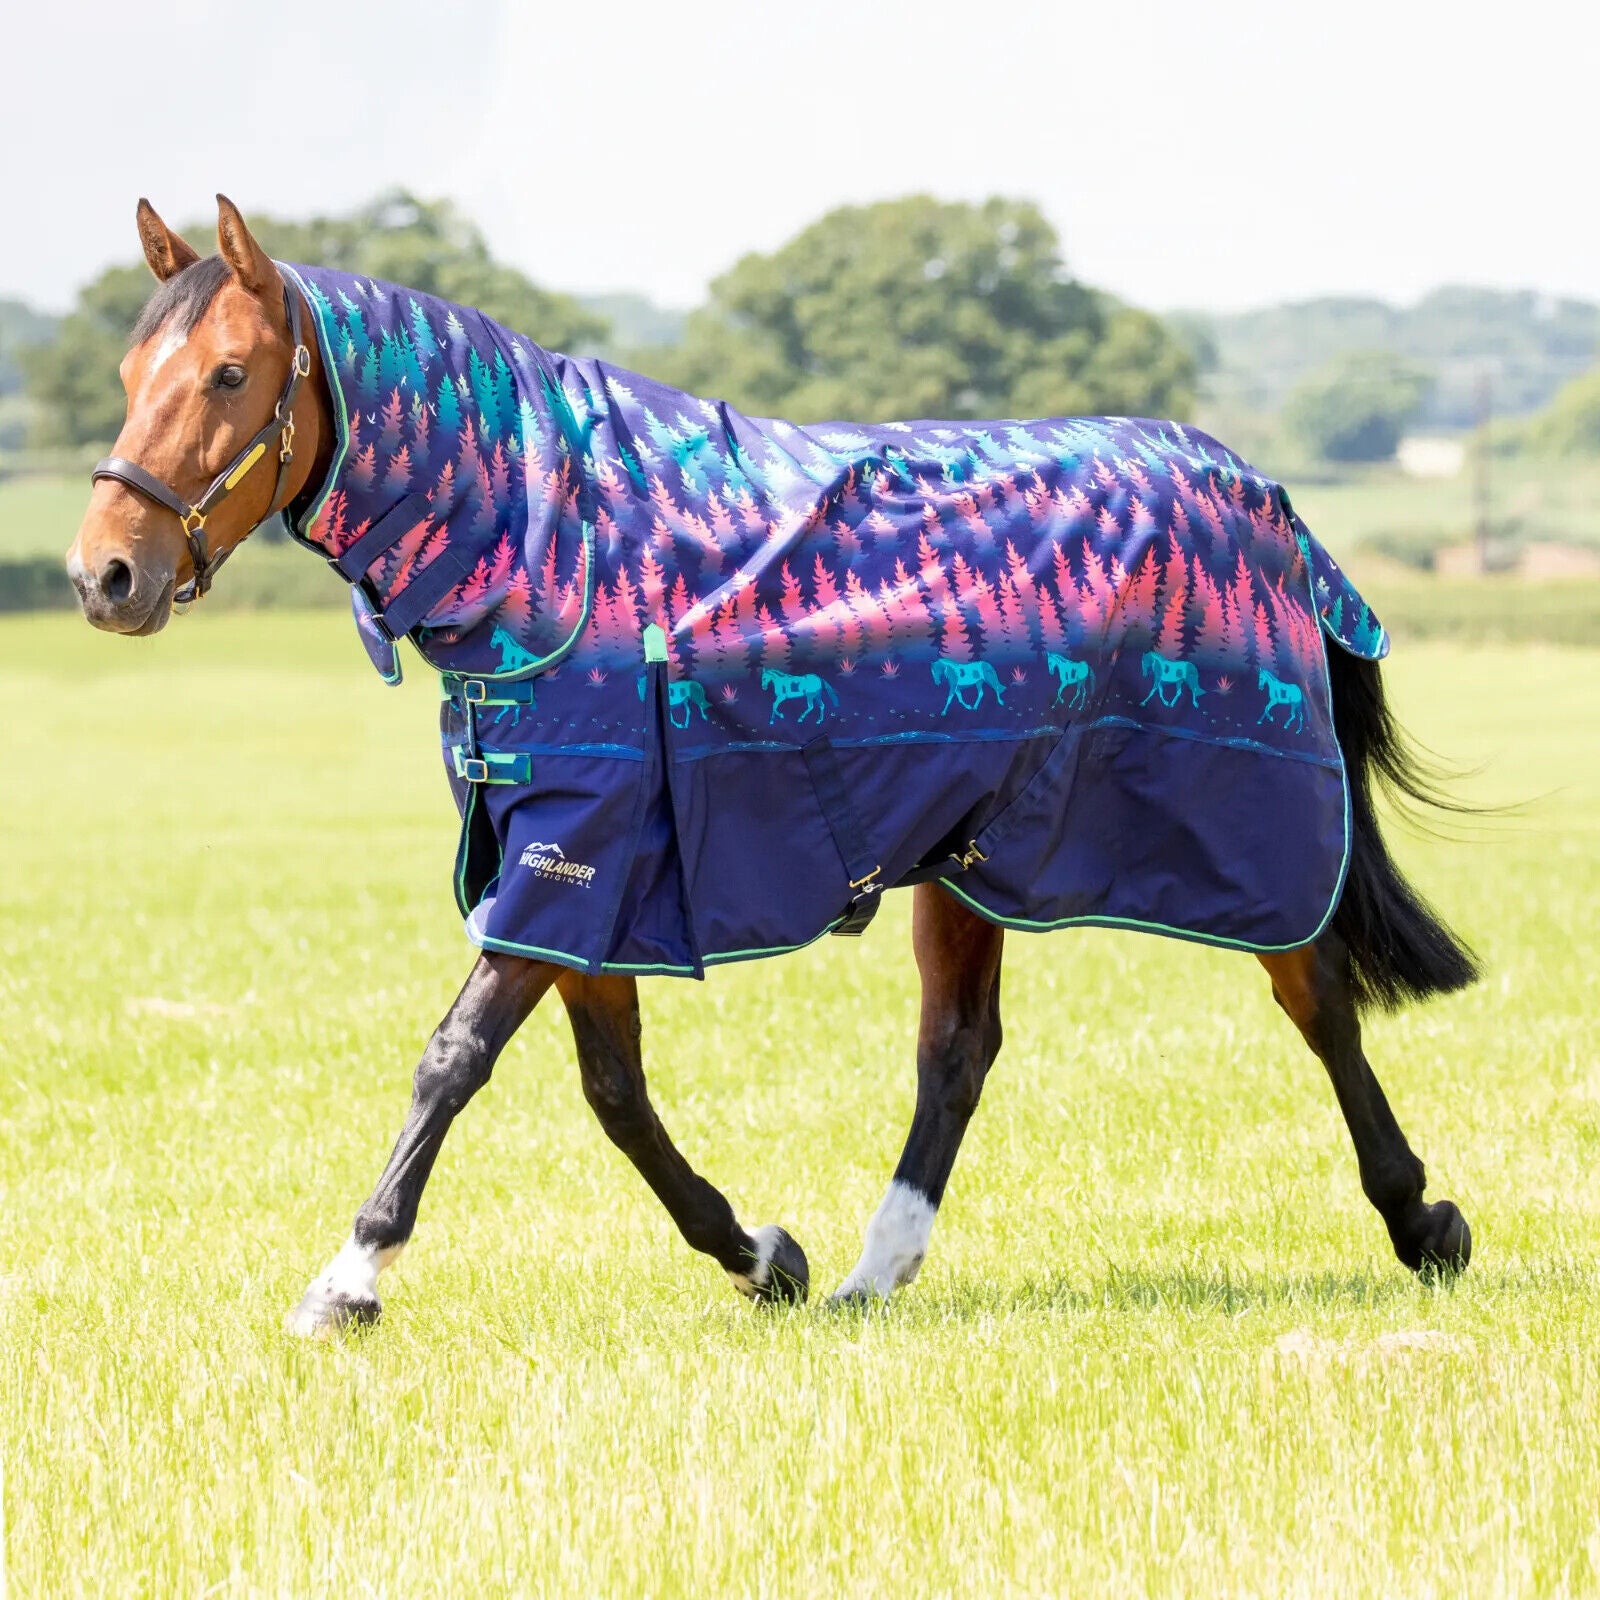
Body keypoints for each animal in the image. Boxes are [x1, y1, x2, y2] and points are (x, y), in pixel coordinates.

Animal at [67, 198, 1477, 1337]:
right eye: (132, 368)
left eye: (231, 372)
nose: (104, 574)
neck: (554, 549)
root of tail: (1260, 495)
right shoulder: (576, 869)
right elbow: (615, 1091)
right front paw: (762, 1255)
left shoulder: (572, 855)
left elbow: (454, 1058)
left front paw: (348, 1277)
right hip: (972, 854)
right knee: (958, 1052)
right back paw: (870, 1269)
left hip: (1244, 834)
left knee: (1316, 999)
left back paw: (1423, 1220)